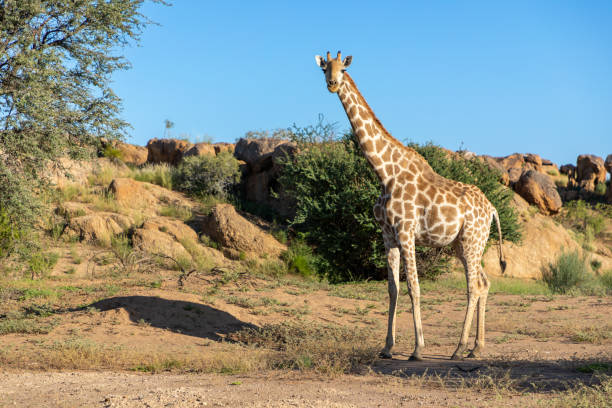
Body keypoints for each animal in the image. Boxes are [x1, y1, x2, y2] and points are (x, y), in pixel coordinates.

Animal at [316, 51, 506, 360]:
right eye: (324, 69)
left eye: (343, 68)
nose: (332, 84)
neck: (384, 172)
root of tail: (492, 209)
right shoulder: (387, 235)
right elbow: (392, 289)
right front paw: (387, 347)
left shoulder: (406, 232)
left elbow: (413, 287)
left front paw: (417, 348)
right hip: (463, 244)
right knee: (485, 283)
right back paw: (476, 348)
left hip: (471, 240)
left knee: (474, 286)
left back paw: (458, 348)